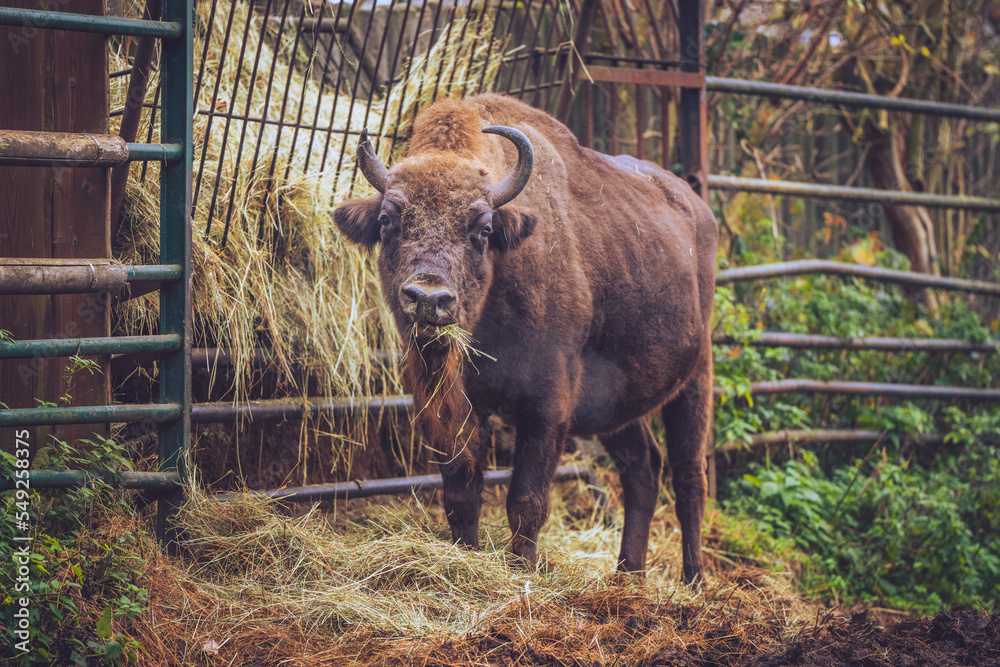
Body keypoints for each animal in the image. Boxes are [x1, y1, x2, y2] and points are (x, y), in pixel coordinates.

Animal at [334, 94, 717, 583]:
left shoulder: (548, 403)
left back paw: (693, 581)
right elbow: (462, 490)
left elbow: (527, 499)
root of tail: (697, 208)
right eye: (387, 221)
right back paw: (628, 574)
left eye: (482, 229)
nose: (429, 298)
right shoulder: (450, 405)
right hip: (617, 403)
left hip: (696, 379)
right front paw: (466, 554)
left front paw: (524, 571)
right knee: (643, 468)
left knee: (689, 477)